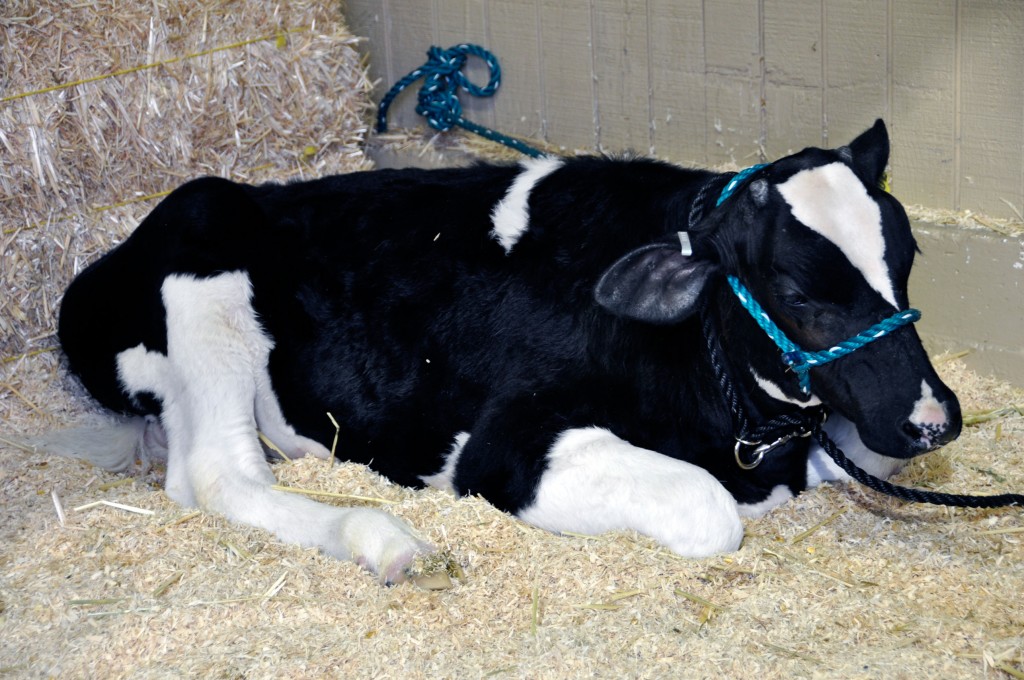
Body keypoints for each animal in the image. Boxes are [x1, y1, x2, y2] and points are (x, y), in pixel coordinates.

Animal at [56, 119, 958, 581]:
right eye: (800, 294)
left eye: (909, 259)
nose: (934, 421)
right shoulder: (504, 446)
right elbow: (705, 508)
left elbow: (859, 455)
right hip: (207, 286)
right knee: (215, 474)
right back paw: (388, 543)